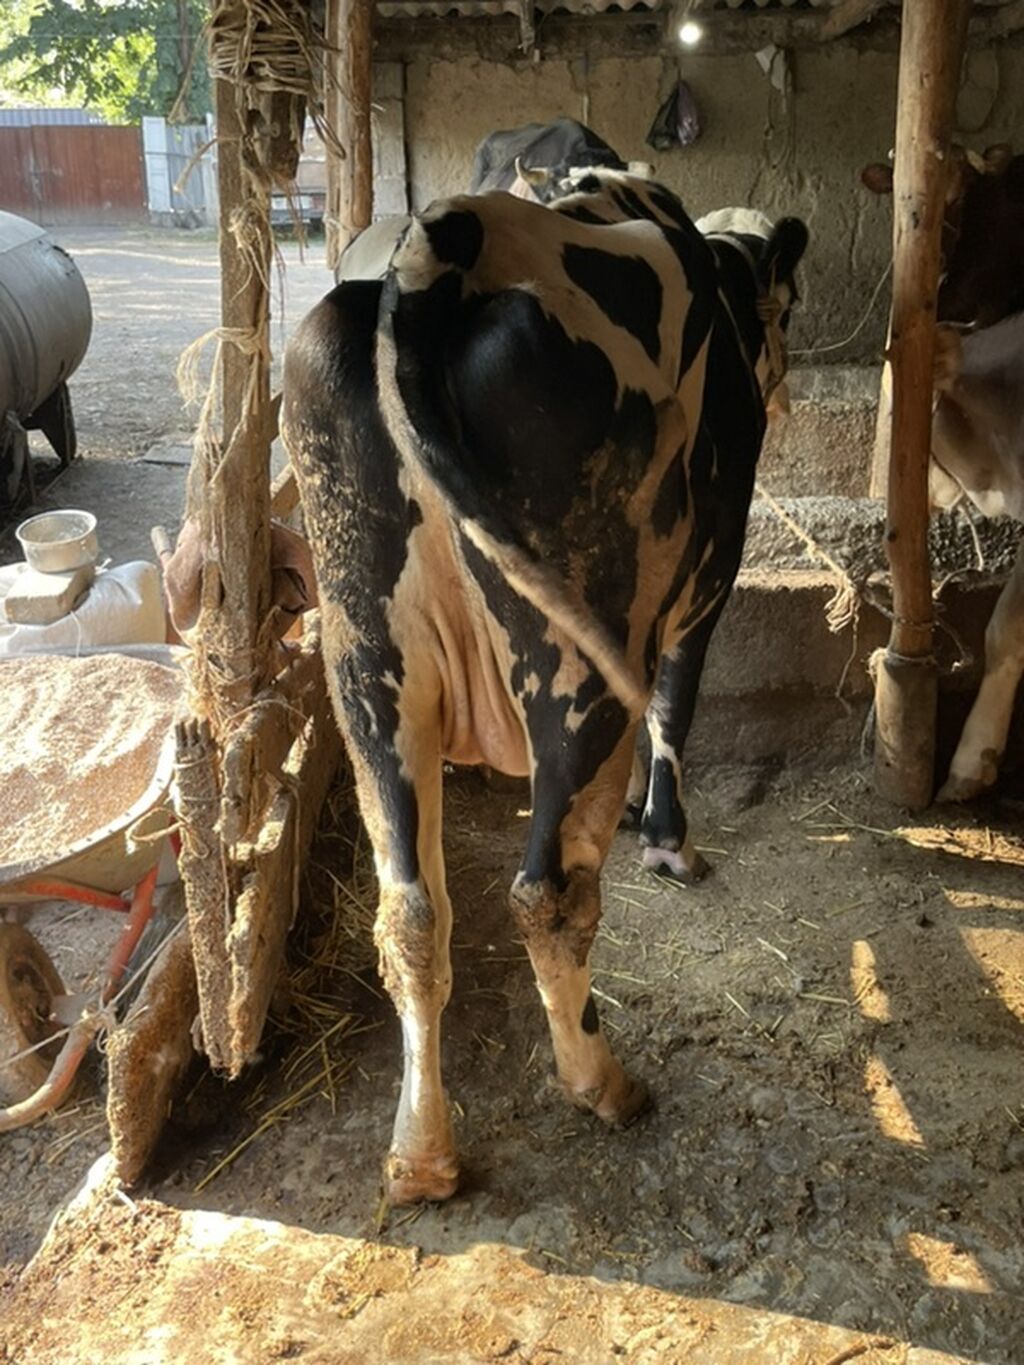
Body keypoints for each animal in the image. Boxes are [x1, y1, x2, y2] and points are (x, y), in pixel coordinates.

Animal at [282, 170, 808, 1203]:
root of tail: (438, 248)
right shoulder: (711, 577)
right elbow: (677, 706)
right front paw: (668, 842)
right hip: (578, 665)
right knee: (547, 894)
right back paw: (603, 1082)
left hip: (368, 663)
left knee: (410, 911)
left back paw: (422, 1156)